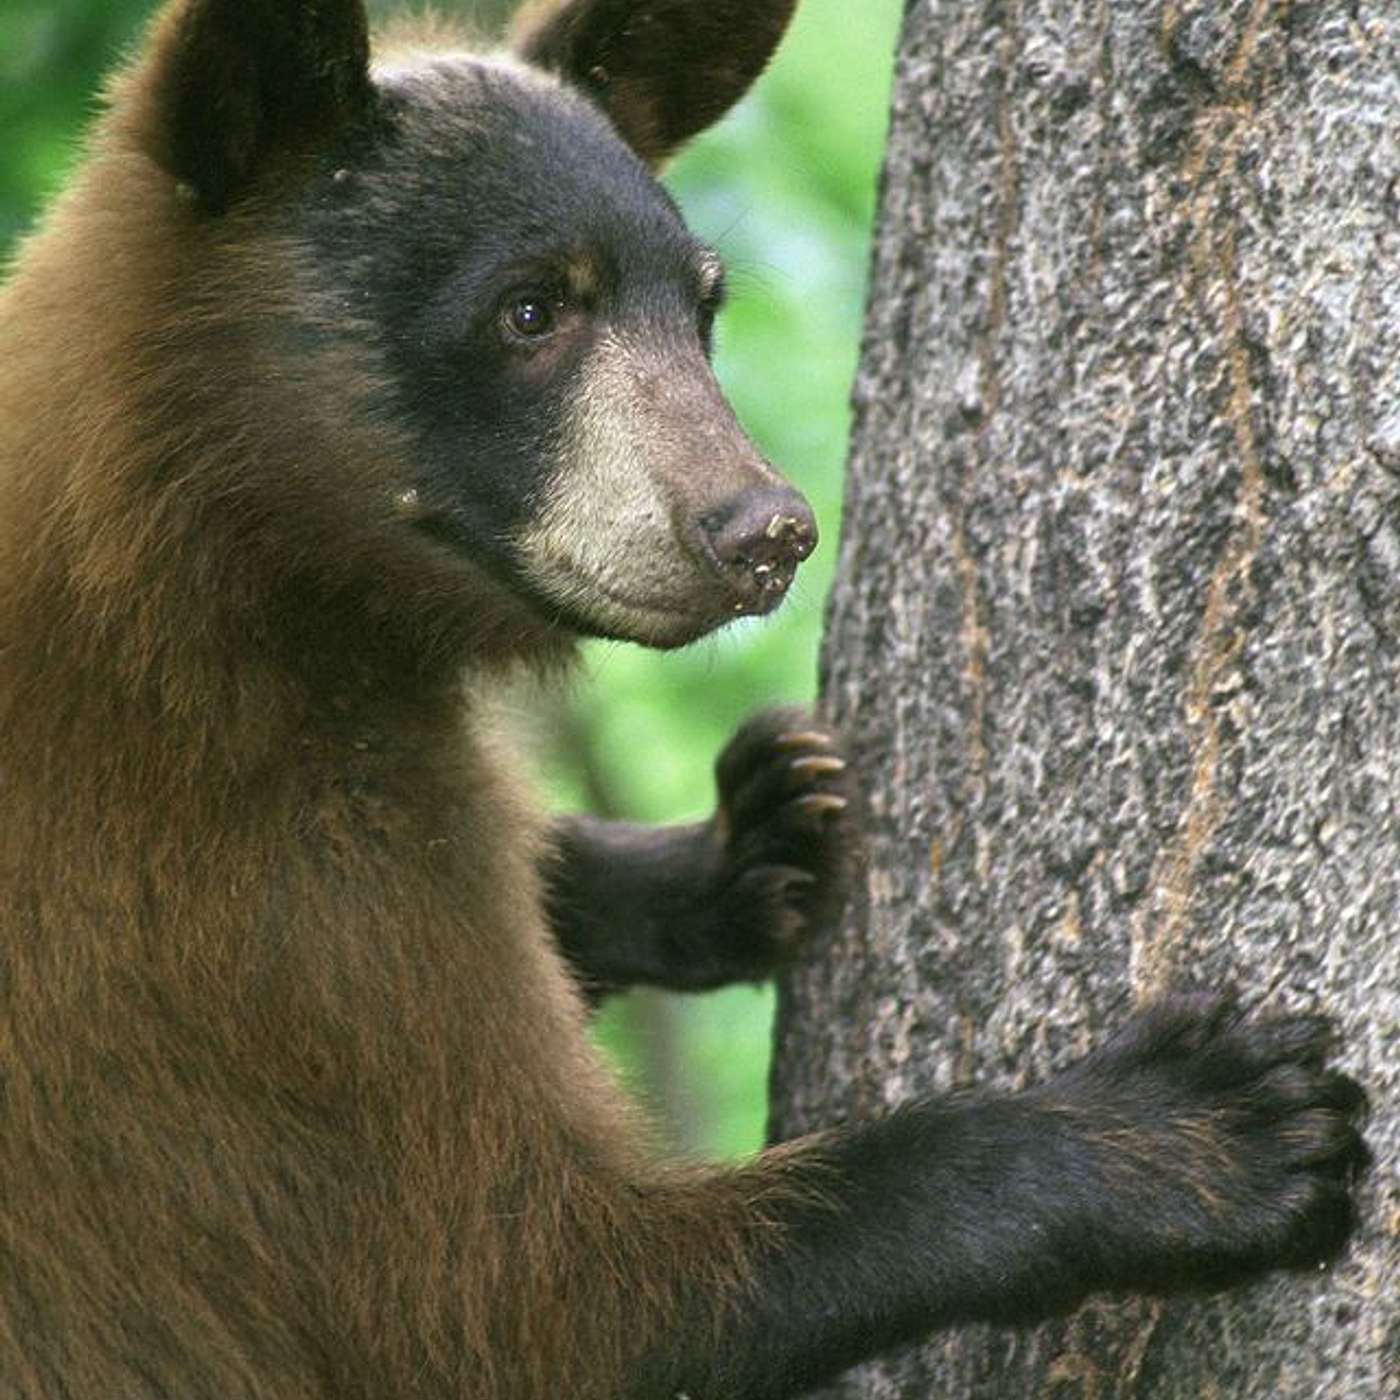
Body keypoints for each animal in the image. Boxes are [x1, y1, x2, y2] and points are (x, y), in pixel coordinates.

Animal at [0, 1, 1367, 1397]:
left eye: (701, 305)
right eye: (529, 307)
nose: (767, 531)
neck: (223, 589)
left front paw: (739, 843)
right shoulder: (249, 927)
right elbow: (524, 1297)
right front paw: (1197, 1129)